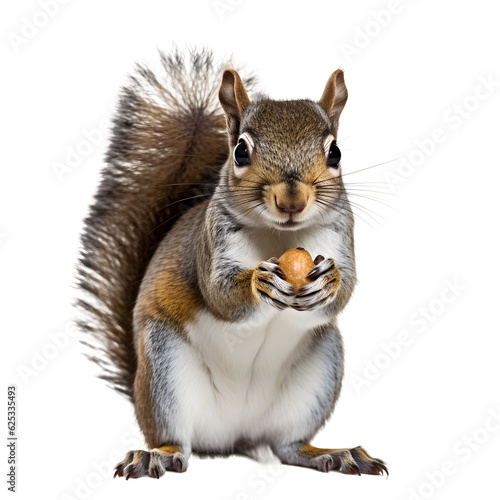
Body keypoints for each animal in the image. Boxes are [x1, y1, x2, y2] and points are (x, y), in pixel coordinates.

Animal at [77, 48, 386, 478]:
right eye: (240, 151)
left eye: (335, 152)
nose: (292, 201)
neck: (280, 235)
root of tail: (234, 436)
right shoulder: (211, 245)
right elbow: (221, 295)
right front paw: (260, 284)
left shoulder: (340, 233)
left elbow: (346, 288)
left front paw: (330, 281)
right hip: (164, 371)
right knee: (177, 441)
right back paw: (158, 454)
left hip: (319, 373)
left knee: (288, 446)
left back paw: (331, 454)